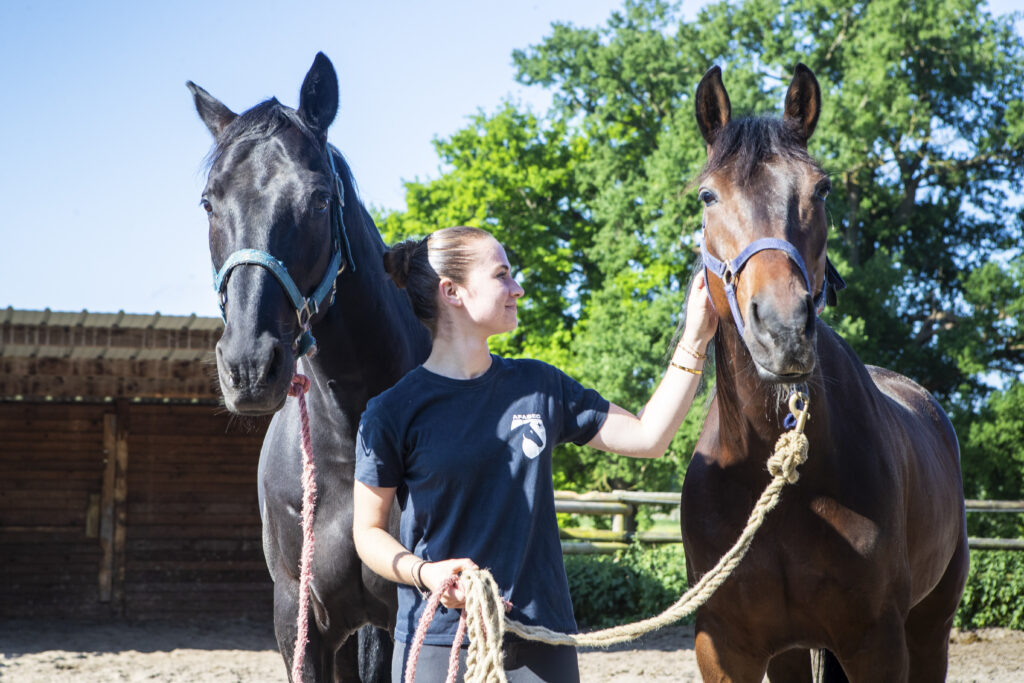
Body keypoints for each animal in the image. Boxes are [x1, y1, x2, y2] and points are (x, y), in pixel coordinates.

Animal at [680, 64, 969, 682]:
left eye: (822, 188)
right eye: (708, 195)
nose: (783, 328)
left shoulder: (877, 643)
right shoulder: (723, 646)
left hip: (930, 628)